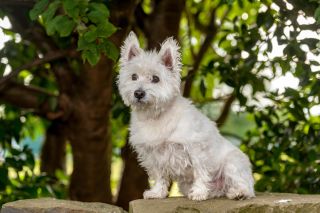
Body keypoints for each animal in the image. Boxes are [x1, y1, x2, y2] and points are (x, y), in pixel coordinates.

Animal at [117, 31, 255, 201]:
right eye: (134, 76)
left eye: (155, 79)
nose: (138, 93)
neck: (156, 116)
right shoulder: (152, 154)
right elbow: (159, 175)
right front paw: (157, 192)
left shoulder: (196, 148)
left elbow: (200, 171)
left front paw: (199, 192)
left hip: (232, 163)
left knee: (245, 186)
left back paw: (238, 193)